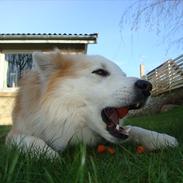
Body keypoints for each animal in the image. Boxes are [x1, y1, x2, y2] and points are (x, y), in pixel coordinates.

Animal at [6, 49, 178, 157]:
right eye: (100, 72)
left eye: (123, 75)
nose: (147, 86)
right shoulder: (12, 135)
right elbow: (27, 139)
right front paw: (48, 154)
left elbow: (135, 129)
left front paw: (160, 138)